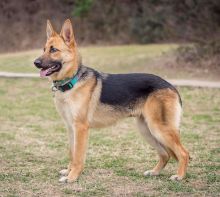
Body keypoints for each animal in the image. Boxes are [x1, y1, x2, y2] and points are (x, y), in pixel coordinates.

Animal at [34, 19, 189, 182]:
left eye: (53, 50)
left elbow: (78, 156)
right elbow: (72, 153)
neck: (72, 81)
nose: (35, 62)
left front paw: (72, 177)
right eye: (44, 49)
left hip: (159, 129)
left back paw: (179, 176)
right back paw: (154, 172)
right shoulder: (70, 128)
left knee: (183, 153)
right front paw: (69, 171)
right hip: (147, 130)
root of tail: (171, 86)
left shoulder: (81, 128)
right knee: (165, 154)